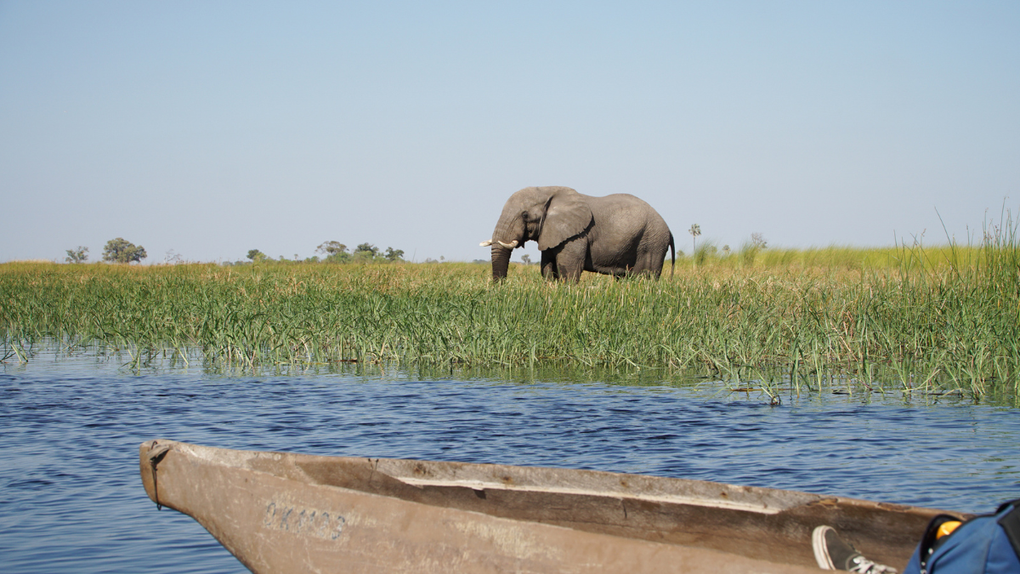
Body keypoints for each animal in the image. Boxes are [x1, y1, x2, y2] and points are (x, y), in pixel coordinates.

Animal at [480, 186, 675, 281]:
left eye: (525, 215)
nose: (500, 287)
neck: (550, 191)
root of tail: (669, 230)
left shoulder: (577, 235)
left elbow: (569, 269)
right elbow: (547, 268)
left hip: (652, 243)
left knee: (646, 278)